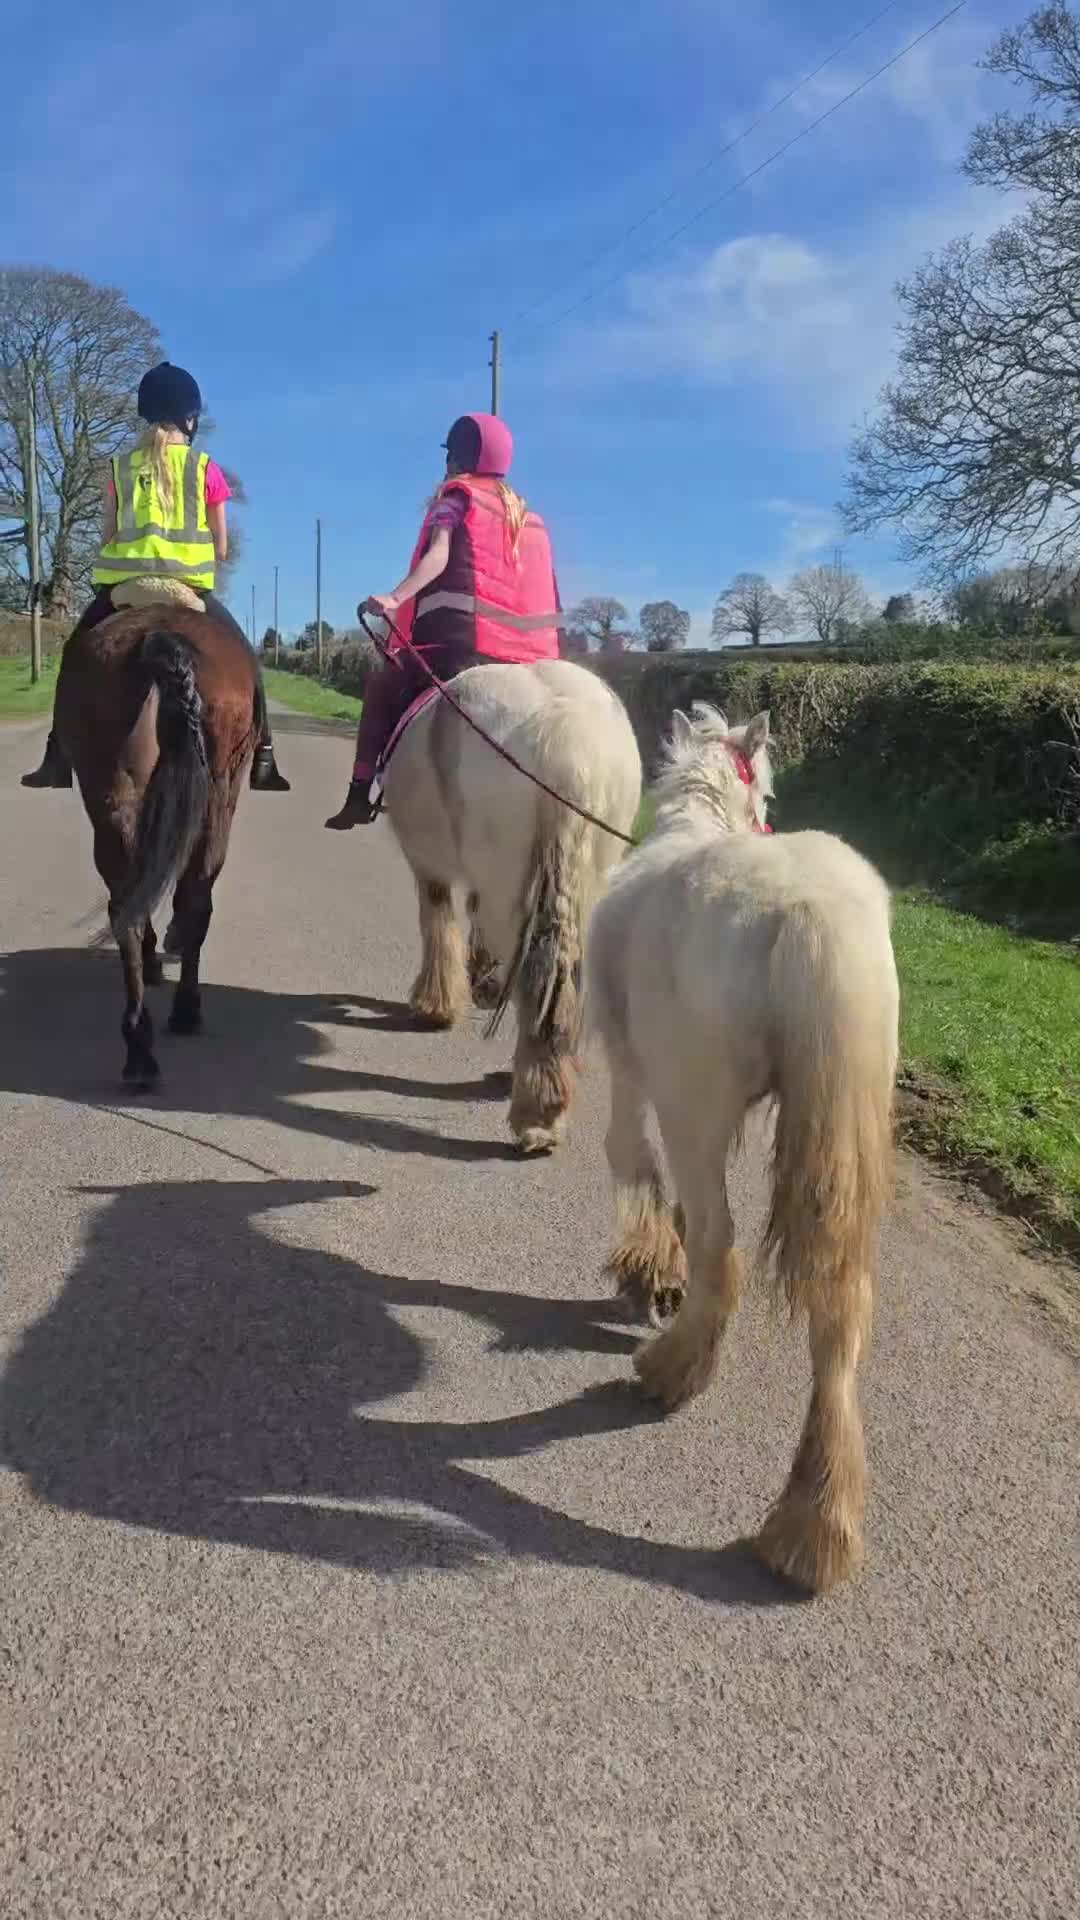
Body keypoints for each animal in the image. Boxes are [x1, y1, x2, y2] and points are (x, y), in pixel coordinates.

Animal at [54, 594, 259, 1087]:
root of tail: (158, 637)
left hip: (114, 793)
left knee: (127, 908)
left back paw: (139, 1047)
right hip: (217, 796)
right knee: (191, 900)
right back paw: (183, 1013)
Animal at [379, 658, 642, 1153]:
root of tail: (565, 730)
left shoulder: (427, 862)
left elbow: (438, 921)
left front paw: (436, 1004)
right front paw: (478, 978)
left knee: (533, 970)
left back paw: (535, 1110)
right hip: (589, 874)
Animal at [586, 703, 899, 1593]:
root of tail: (807, 909)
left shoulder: (631, 1069)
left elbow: (630, 1158)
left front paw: (648, 1269)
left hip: (693, 1107)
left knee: (721, 1244)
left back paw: (671, 1368)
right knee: (841, 1308)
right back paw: (814, 1524)